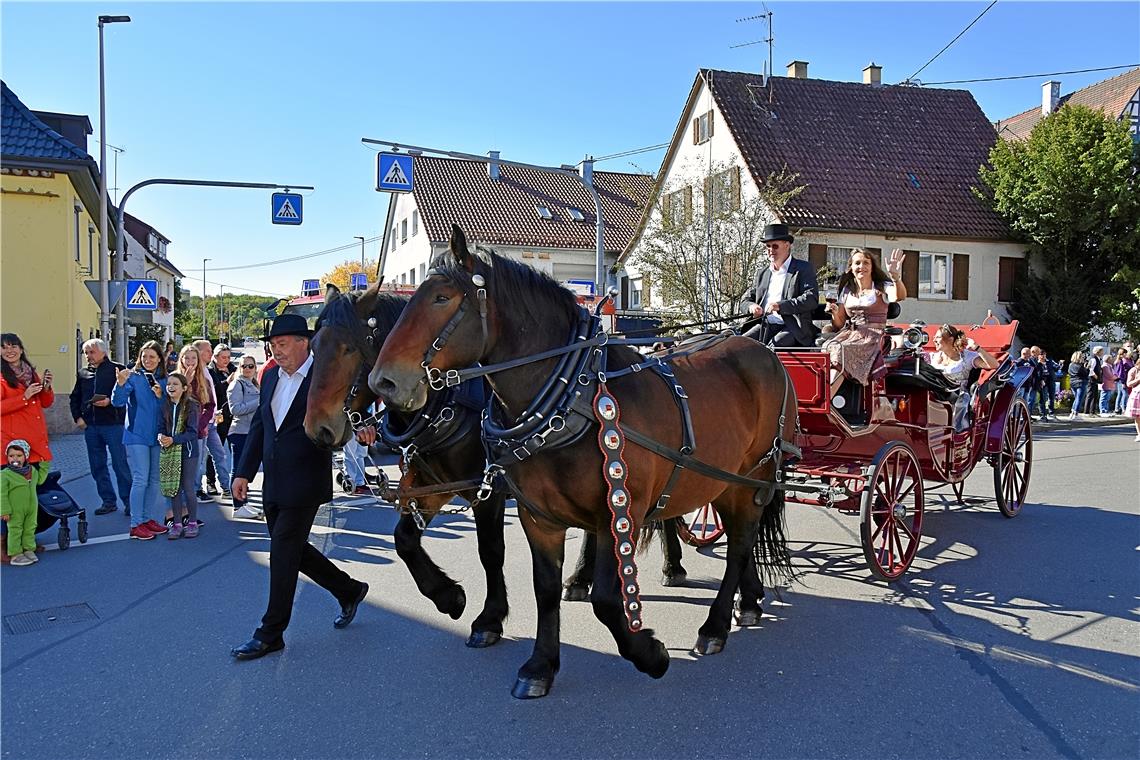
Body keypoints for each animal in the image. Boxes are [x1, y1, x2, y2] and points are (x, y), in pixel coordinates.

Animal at [371, 225, 793, 701]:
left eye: (442, 297)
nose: (384, 382)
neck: (575, 398)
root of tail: (758, 346)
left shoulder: (619, 511)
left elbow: (608, 600)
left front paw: (651, 654)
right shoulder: (537, 517)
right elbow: (544, 588)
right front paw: (540, 664)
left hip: (750, 478)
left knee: (740, 544)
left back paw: (716, 625)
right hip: (718, 482)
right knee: (743, 537)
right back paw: (746, 601)